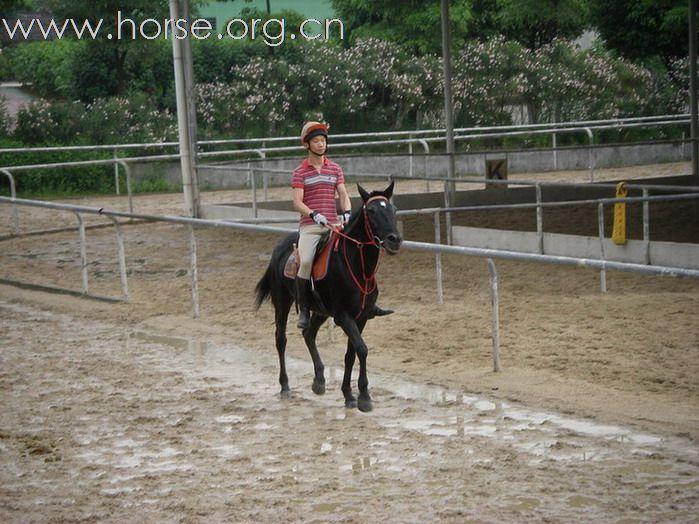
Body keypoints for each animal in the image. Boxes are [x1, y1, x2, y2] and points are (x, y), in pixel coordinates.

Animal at [254, 182, 402, 412]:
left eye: (393, 210)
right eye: (371, 211)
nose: (394, 240)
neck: (357, 266)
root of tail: (280, 247)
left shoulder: (361, 317)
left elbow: (351, 354)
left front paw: (349, 395)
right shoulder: (343, 316)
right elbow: (362, 349)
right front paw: (364, 397)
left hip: (321, 311)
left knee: (309, 334)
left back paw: (319, 381)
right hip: (283, 302)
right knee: (281, 339)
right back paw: (285, 386)